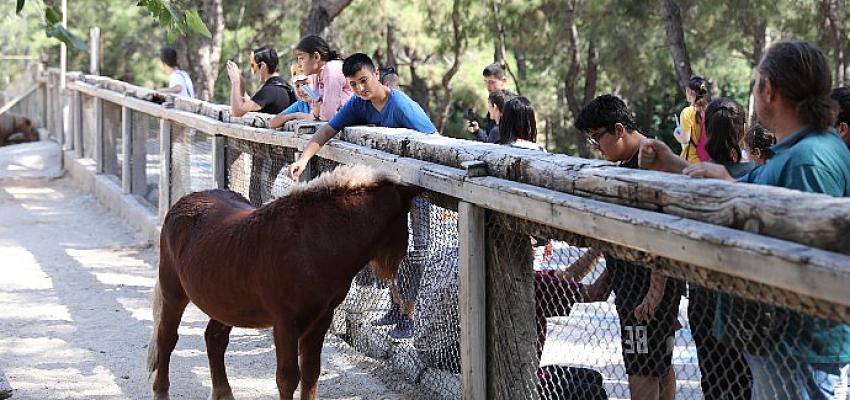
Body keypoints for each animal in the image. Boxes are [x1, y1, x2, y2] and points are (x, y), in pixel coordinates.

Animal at [149, 164, 420, 398]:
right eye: (406, 218)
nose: (396, 266)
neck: (315, 242)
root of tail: (183, 202)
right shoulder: (285, 323)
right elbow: (288, 378)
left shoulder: (321, 319)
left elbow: (311, 372)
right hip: (173, 292)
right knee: (167, 338)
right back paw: (161, 391)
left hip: (225, 302)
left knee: (214, 339)